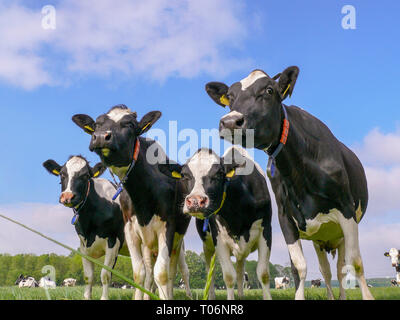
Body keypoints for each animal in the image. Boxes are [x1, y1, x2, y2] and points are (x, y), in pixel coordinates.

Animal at [73, 104, 192, 300]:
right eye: (97, 124)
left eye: (129, 124)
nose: (101, 137)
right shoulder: (130, 229)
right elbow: (139, 273)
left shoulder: (167, 228)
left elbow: (162, 273)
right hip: (148, 243)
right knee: (149, 272)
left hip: (178, 242)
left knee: (175, 270)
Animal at [158, 146, 274, 302]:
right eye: (184, 175)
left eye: (219, 173)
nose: (195, 201)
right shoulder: (218, 238)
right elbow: (229, 276)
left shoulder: (266, 232)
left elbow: (263, 273)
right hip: (207, 246)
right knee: (210, 272)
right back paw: (212, 295)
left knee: (240, 270)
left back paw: (241, 295)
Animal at [206, 67, 376, 300]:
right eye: (230, 97)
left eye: (269, 90)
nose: (230, 122)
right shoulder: (285, 216)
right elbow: (299, 266)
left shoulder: (347, 211)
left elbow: (356, 263)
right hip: (320, 238)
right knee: (326, 270)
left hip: (338, 232)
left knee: (341, 269)